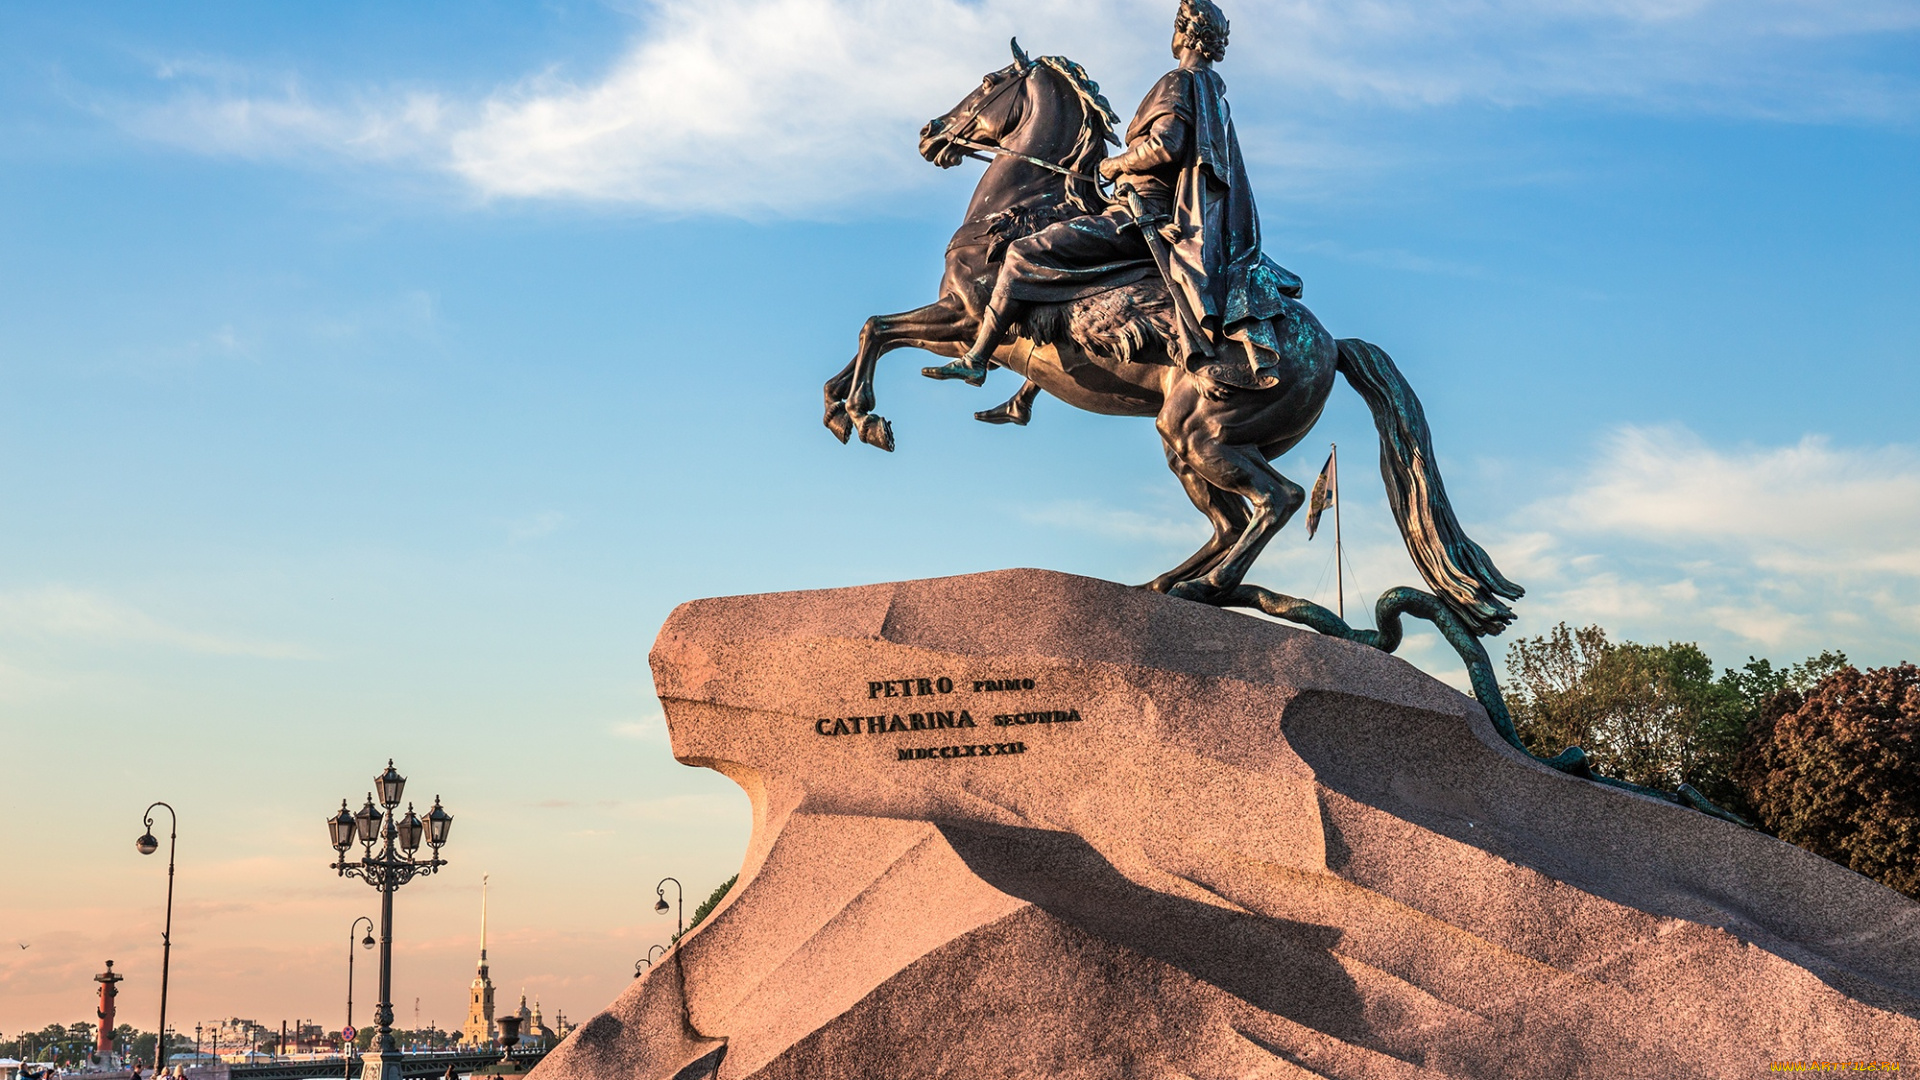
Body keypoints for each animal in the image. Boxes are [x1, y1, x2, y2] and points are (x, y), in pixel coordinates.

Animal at [817, 39, 1520, 630]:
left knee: (1279, 500)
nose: (929, 134)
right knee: (1231, 521)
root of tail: (1329, 345)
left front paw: (868, 415)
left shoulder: (965, 315)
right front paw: (840, 410)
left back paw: (1203, 587)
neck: (1024, 207)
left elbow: (882, 329)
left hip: (1198, 432)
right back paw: (1166, 586)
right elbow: (870, 337)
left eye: (990, 81)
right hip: (1185, 442)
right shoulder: (954, 320)